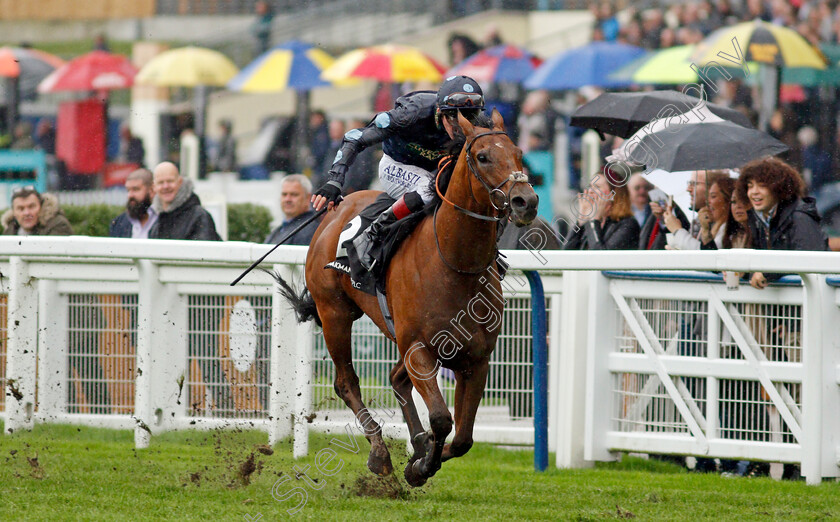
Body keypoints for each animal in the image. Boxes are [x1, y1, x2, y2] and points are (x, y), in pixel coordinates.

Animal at [276, 109, 540, 484]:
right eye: (482, 156)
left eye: (519, 153)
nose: (525, 201)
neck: (455, 264)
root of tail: (337, 212)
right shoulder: (418, 348)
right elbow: (442, 419)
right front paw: (420, 466)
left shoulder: (476, 359)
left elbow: (463, 438)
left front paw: (422, 456)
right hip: (335, 314)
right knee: (346, 383)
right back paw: (379, 452)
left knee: (396, 379)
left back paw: (414, 443)